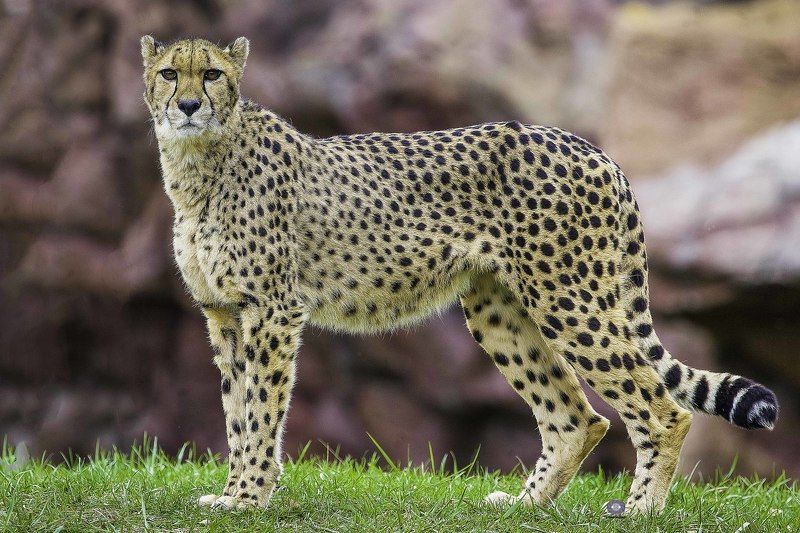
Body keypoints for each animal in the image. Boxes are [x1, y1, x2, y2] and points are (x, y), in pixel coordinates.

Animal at [141, 35, 779, 515]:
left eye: (213, 74)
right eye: (170, 73)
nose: (189, 106)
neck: (200, 165)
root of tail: (589, 147)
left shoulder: (271, 311)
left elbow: (261, 407)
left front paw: (249, 497)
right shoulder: (224, 313)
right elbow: (236, 410)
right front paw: (234, 494)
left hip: (568, 297)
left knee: (662, 408)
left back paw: (642, 509)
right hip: (499, 308)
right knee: (577, 416)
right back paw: (526, 504)